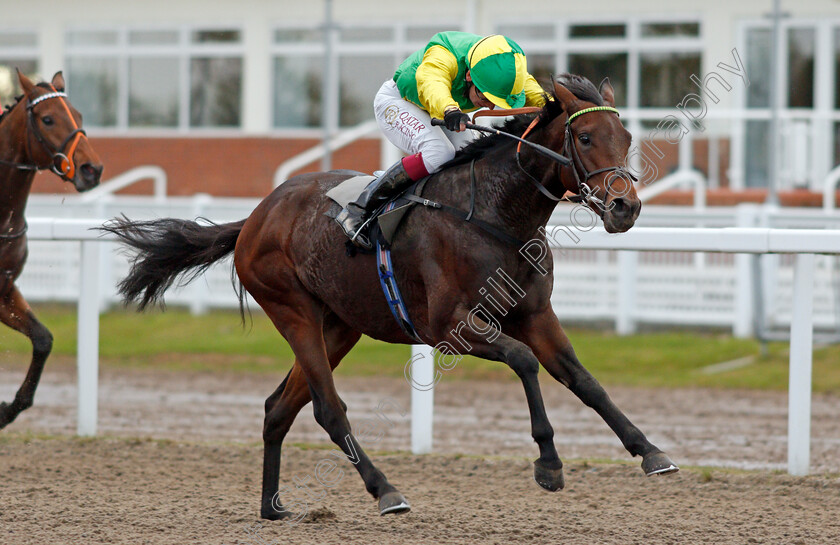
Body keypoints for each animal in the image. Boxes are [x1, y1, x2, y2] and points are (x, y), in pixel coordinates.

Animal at [0, 71, 103, 430]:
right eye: (47, 119)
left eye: (79, 116)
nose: (91, 169)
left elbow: (43, 340)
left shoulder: (6, 288)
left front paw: (8, 409)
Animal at [105, 75, 680, 520]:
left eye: (626, 135)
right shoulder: (449, 329)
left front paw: (650, 451)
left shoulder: (537, 314)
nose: (626, 207)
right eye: (583, 136)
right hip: (293, 311)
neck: (495, 216)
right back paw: (385, 490)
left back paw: (272, 507)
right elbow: (524, 361)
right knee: (328, 410)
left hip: (340, 325)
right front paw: (549, 463)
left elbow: (583, 379)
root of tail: (255, 216)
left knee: (278, 408)